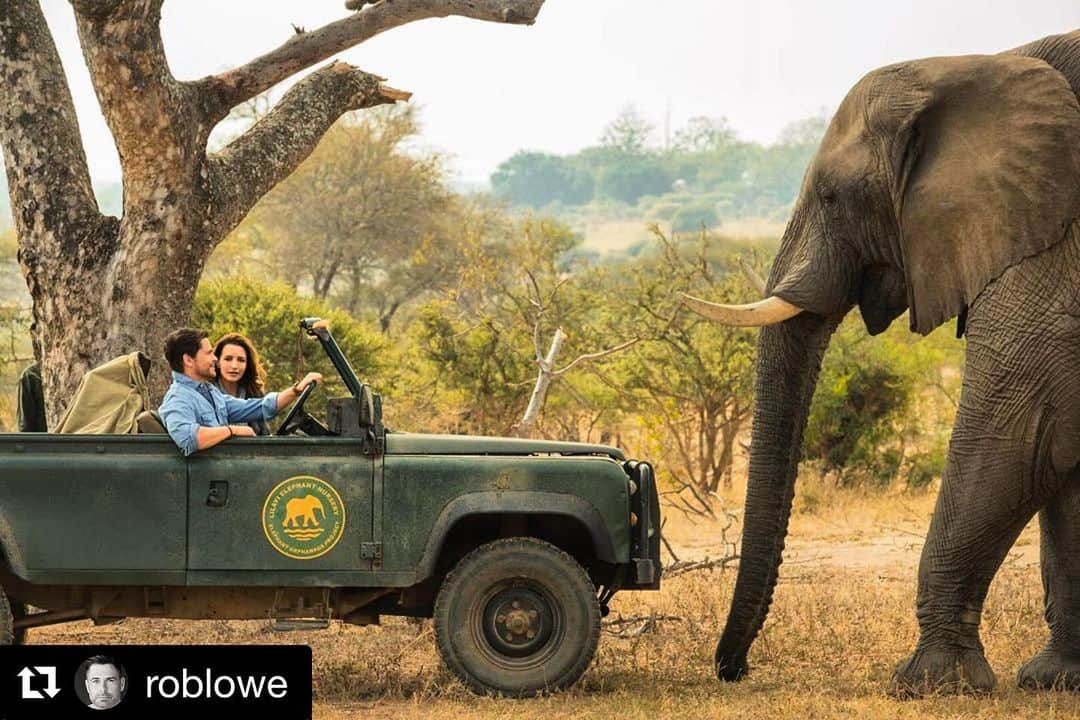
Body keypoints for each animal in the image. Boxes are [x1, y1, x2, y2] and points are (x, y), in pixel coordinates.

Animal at [686, 29, 1080, 699]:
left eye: (829, 196)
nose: (732, 670)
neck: (981, 65)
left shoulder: (1056, 246)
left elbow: (1021, 428)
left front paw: (929, 684)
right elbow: (1060, 454)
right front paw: (1054, 680)